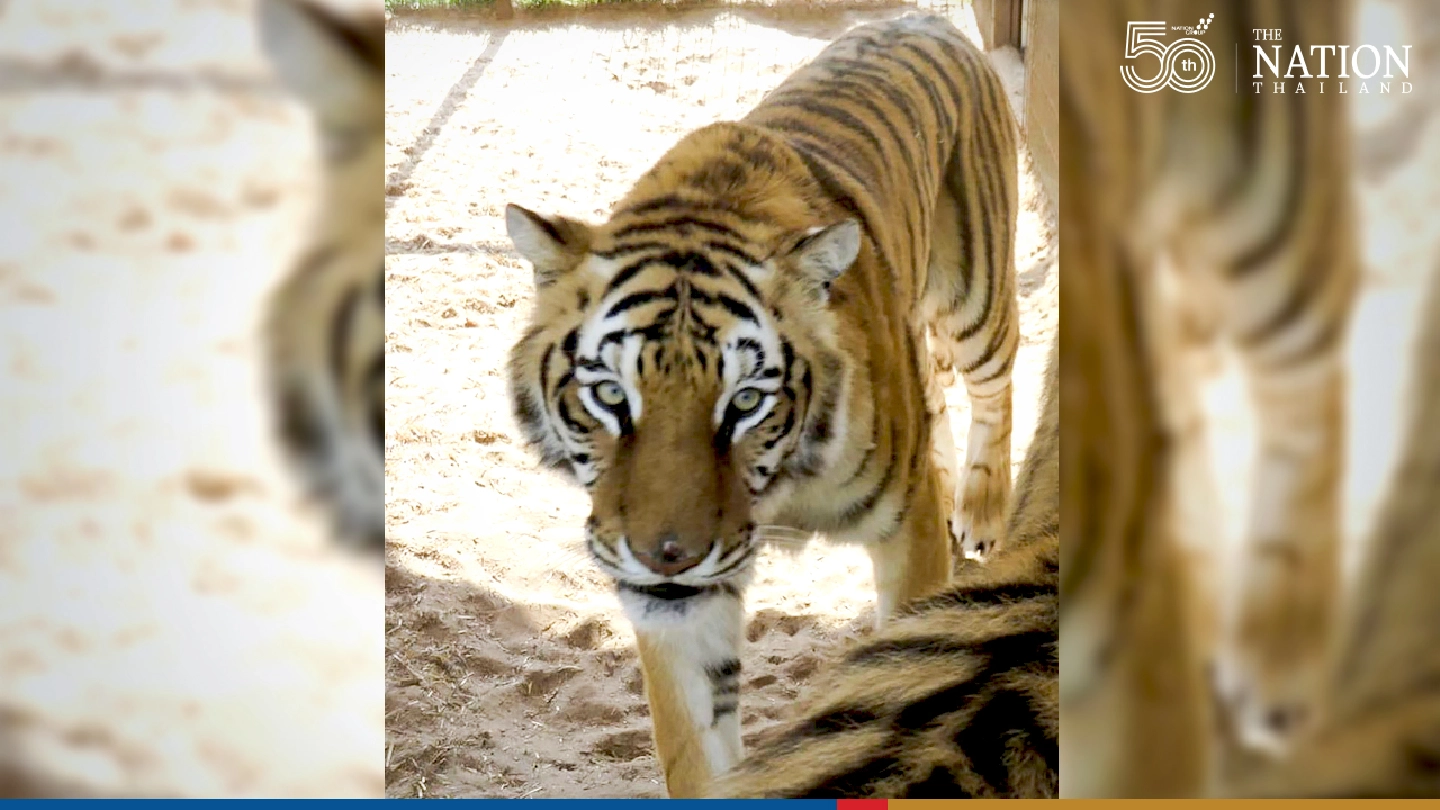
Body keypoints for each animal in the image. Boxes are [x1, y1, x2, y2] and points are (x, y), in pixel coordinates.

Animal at [504, 13, 1020, 797]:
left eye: (746, 400)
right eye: (610, 395)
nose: (667, 558)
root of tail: (928, 19)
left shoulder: (907, 532)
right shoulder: (680, 611)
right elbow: (696, 748)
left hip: (977, 301)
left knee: (998, 386)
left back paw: (984, 515)